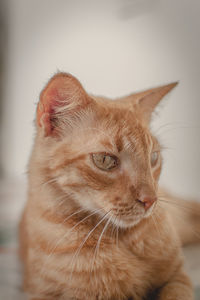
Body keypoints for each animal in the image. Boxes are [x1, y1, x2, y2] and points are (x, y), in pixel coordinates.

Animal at [19, 73, 200, 300]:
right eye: (105, 160)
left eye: (153, 158)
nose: (151, 200)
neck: (123, 241)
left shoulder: (178, 277)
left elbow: (174, 294)